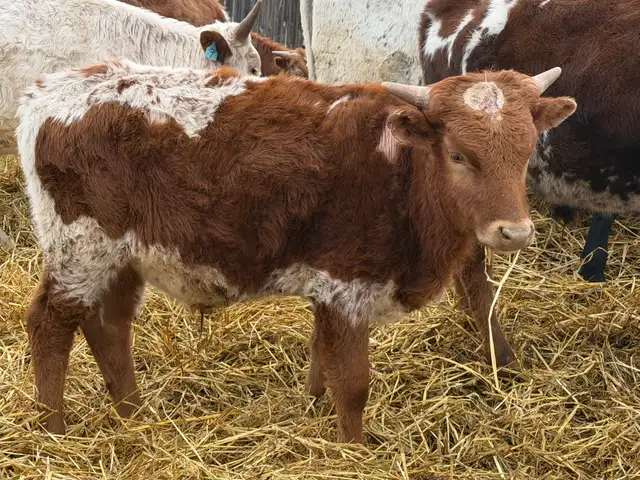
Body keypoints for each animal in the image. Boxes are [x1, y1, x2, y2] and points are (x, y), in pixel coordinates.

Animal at [17, 59, 575, 442]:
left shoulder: (329, 291)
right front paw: (354, 452)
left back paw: (133, 415)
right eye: (458, 154)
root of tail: (52, 89)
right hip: (81, 249)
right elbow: (352, 383)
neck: (399, 170)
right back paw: (53, 430)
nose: (514, 232)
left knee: (108, 326)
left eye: (526, 151)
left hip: (122, 258)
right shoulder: (347, 286)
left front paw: (313, 409)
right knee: (49, 325)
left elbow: (321, 363)